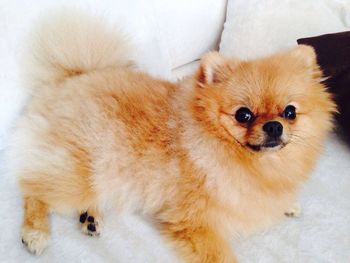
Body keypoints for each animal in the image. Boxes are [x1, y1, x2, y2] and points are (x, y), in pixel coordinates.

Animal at [8, 9, 334, 262]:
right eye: (243, 115)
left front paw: (287, 203)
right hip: (79, 171)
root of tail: (72, 77)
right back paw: (35, 232)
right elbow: (220, 254)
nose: (274, 126)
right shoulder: (195, 222)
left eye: (290, 112)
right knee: (33, 187)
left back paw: (90, 217)